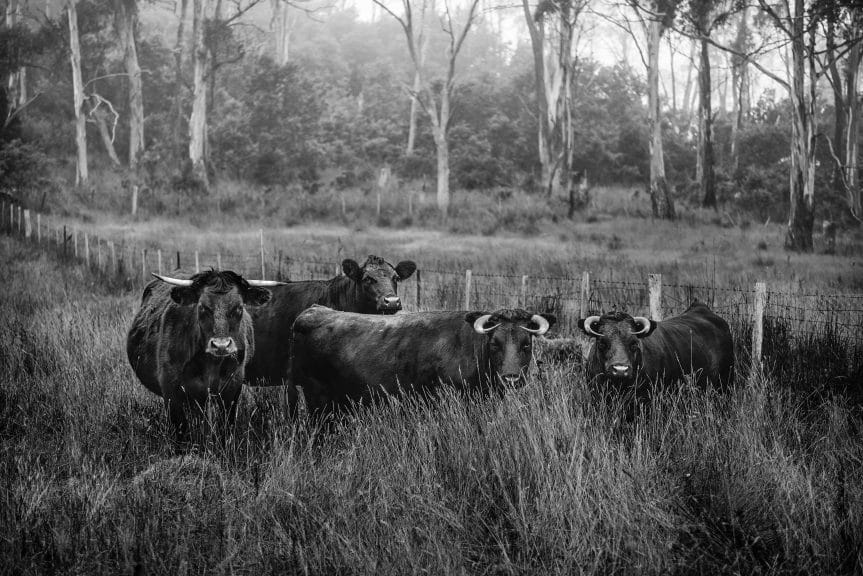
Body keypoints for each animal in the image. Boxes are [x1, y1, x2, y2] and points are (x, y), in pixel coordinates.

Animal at [126, 270, 286, 440]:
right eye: (202, 307)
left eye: (239, 307)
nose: (221, 345)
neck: (210, 364)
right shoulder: (171, 390)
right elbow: (181, 430)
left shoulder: (232, 388)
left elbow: (226, 426)